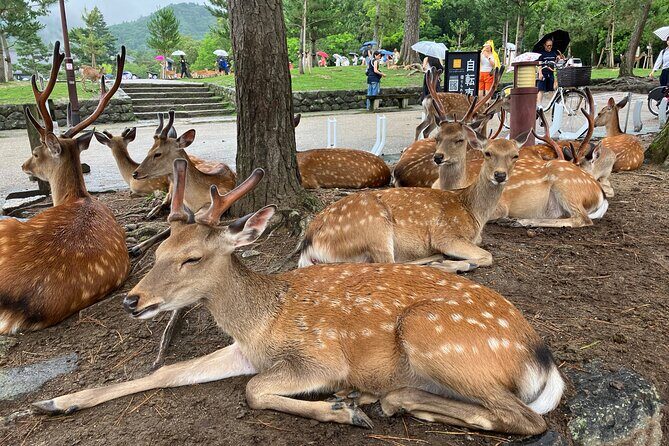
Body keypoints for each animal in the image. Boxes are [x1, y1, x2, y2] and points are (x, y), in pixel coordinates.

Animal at [33, 159, 564, 436]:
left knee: (523, 419)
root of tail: (542, 358)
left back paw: (375, 399)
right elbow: (167, 372)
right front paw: (56, 402)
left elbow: (253, 391)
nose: (133, 301)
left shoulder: (319, 357)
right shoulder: (244, 350)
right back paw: (380, 397)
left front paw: (336, 410)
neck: (259, 320)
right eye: (160, 249)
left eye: (192, 259)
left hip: (432, 334)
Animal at [299, 131, 529, 273]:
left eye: (515, 155)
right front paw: (450, 263)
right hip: (375, 227)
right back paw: (437, 260)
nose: (500, 175)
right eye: (487, 153)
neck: (473, 212)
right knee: (389, 264)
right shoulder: (446, 235)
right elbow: (488, 256)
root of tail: (309, 244)